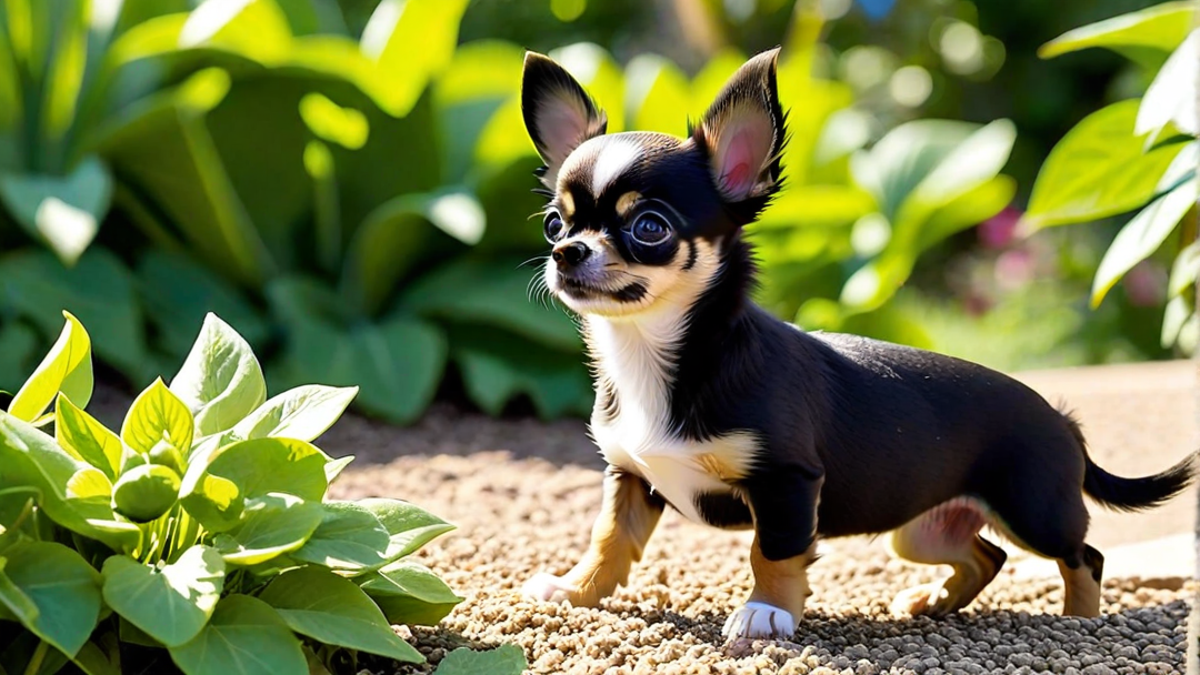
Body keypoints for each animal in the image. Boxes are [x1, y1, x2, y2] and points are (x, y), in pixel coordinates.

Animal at [520, 45, 1195, 634]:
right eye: (554, 222)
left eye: (649, 227)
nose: (566, 252)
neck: (653, 353)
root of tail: (1063, 420)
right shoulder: (629, 477)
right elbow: (610, 538)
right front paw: (577, 589)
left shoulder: (788, 483)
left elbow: (772, 551)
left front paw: (766, 613)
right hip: (920, 528)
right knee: (988, 556)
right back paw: (933, 602)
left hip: (1033, 509)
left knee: (1084, 556)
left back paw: (1079, 621)